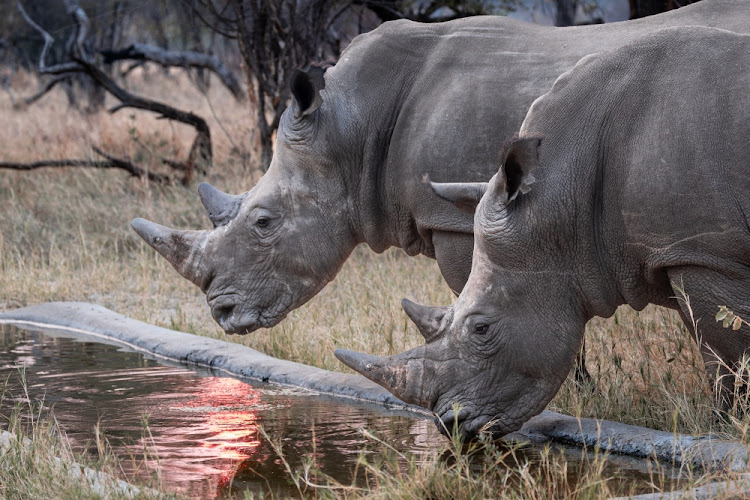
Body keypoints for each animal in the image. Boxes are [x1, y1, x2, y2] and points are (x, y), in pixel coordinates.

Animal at [338, 26, 750, 438]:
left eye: (482, 329)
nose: (449, 425)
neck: (558, 205)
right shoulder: (680, 251)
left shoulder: (707, 256)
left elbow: (727, 353)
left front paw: (727, 427)